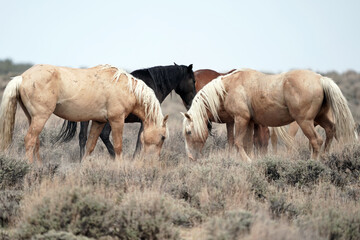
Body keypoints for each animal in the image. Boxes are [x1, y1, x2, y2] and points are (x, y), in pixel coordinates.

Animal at [0, 64, 169, 163]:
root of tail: (22, 77)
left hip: (32, 118)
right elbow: (118, 147)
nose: (154, 161)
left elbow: (90, 146)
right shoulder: (117, 120)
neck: (126, 88)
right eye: (162, 137)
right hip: (40, 117)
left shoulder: (99, 122)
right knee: (29, 140)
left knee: (35, 141)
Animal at [57, 63, 197, 159]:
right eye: (193, 80)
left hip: (86, 118)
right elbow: (140, 141)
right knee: (103, 135)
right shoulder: (144, 121)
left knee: (83, 138)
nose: (192, 101)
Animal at [181, 68, 356, 161]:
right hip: (320, 118)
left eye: (189, 132)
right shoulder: (250, 122)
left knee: (316, 141)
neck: (228, 87)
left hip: (305, 122)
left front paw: (248, 161)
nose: (190, 157)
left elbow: (238, 143)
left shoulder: (241, 119)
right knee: (330, 131)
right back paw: (325, 157)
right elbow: (248, 144)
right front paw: (251, 159)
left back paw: (313, 162)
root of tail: (320, 79)